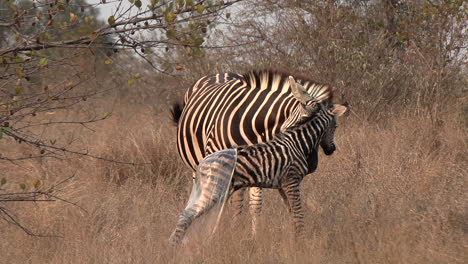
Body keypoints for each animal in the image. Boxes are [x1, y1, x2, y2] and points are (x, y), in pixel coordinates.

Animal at [169, 77, 348, 245]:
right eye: (336, 126)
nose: (330, 150)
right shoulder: (291, 180)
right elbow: (298, 212)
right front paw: (301, 241)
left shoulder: (282, 183)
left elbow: (288, 211)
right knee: (192, 212)